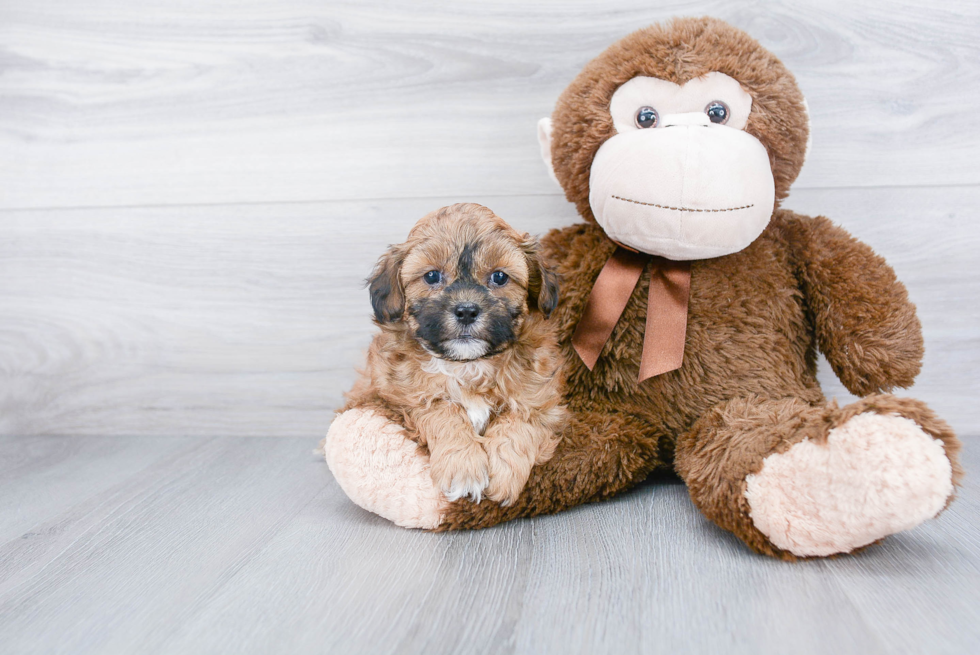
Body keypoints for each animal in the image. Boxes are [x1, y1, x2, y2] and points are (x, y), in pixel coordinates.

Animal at [346, 202, 568, 504]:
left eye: (499, 277)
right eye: (432, 276)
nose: (466, 311)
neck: (468, 364)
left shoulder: (541, 402)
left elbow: (518, 421)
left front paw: (504, 472)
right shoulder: (398, 398)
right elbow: (443, 410)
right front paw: (464, 469)